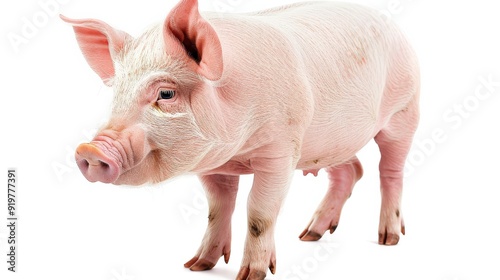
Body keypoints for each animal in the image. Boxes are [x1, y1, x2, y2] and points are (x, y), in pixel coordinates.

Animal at [64, 0, 420, 278]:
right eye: (117, 95)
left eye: (165, 93)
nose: (91, 149)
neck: (236, 149)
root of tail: (391, 25)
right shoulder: (213, 165)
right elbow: (217, 206)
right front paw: (196, 265)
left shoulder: (281, 152)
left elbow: (260, 211)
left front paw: (251, 275)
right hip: (329, 140)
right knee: (351, 170)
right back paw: (309, 236)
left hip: (404, 111)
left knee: (390, 171)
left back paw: (389, 238)